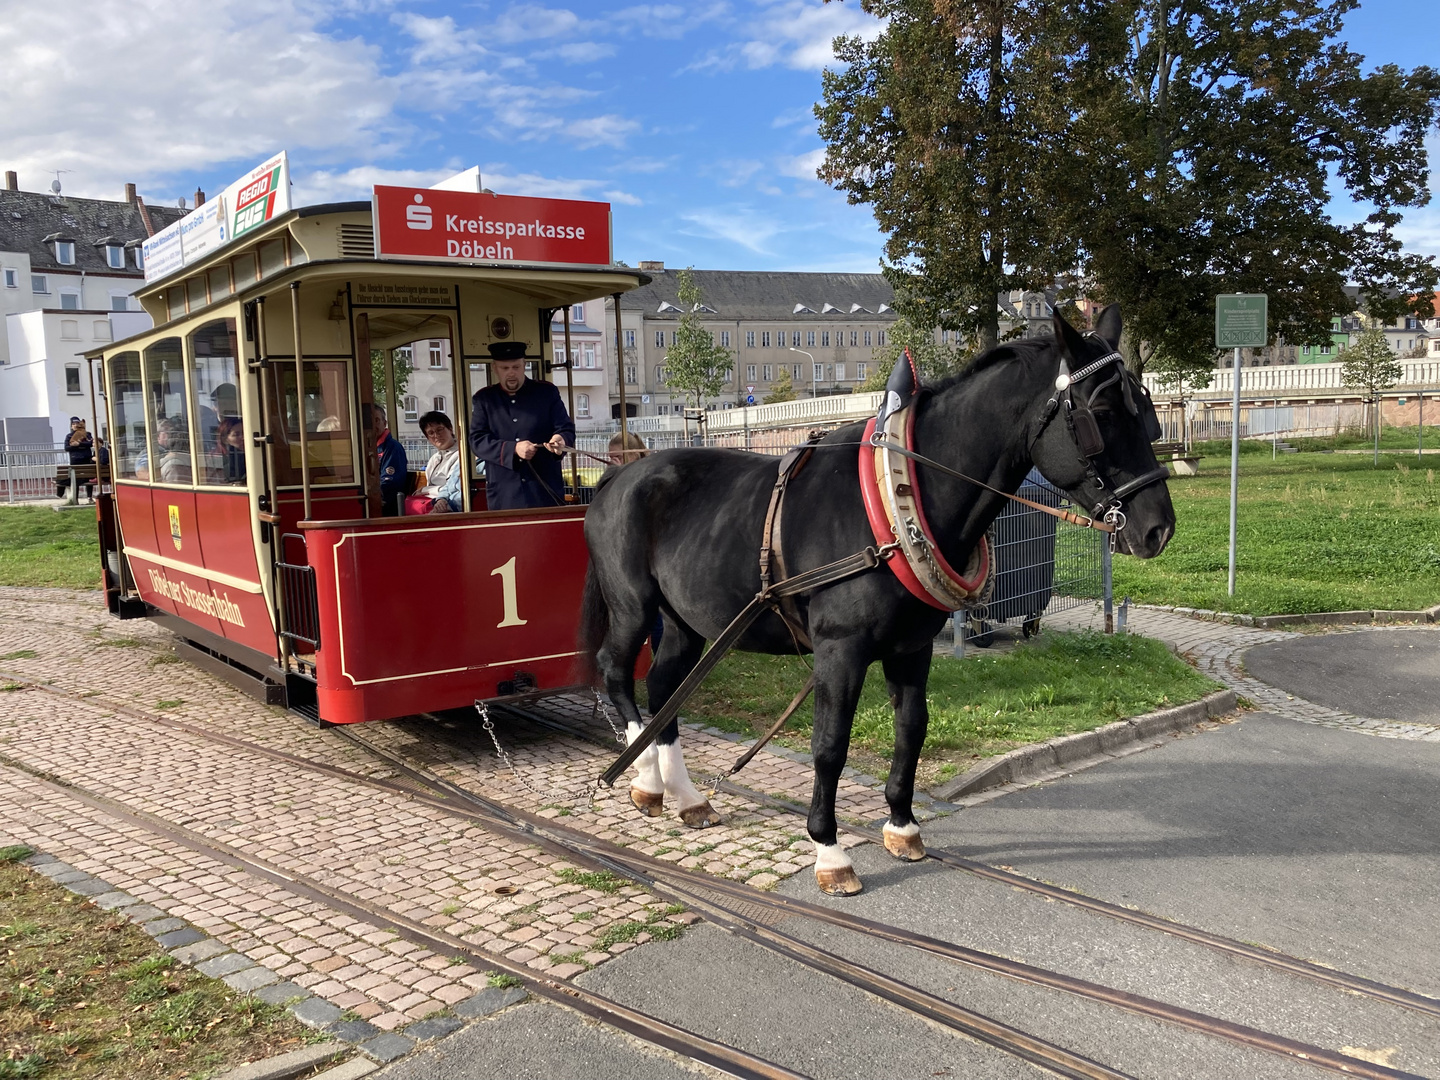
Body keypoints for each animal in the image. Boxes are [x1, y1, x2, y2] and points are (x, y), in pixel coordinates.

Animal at [578, 306, 1175, 898]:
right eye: (1101, 414)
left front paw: (903, 827)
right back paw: (644, 776)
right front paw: (829, 850)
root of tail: (618, 473)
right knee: (617, 672)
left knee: (664, 687)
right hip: (634, 605)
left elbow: (912, 728)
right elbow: (829, 745)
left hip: (684, 618)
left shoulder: (912, 648)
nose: (1158, 530)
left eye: (1147, 412)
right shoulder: (839, 651)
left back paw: (686, 796)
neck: (898, 501)